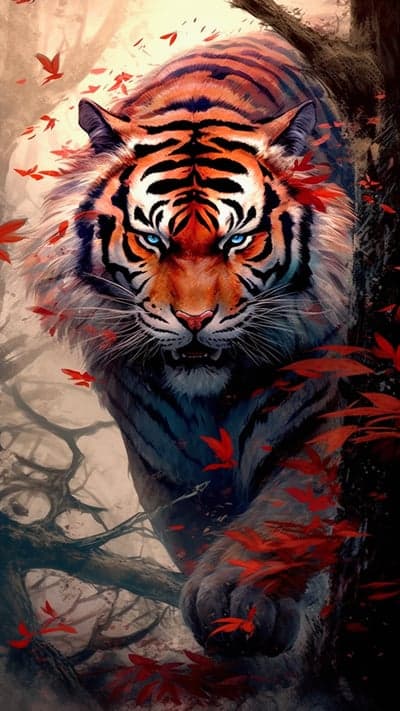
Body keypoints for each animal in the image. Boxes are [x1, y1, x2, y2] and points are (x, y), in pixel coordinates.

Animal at [24, 31, 354, 705]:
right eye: (152, 240)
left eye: (238, 240)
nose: (196, 320)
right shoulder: (162, 462)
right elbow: (193, 531)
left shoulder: (325, 406)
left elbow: (287, 507)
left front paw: (239, 602)